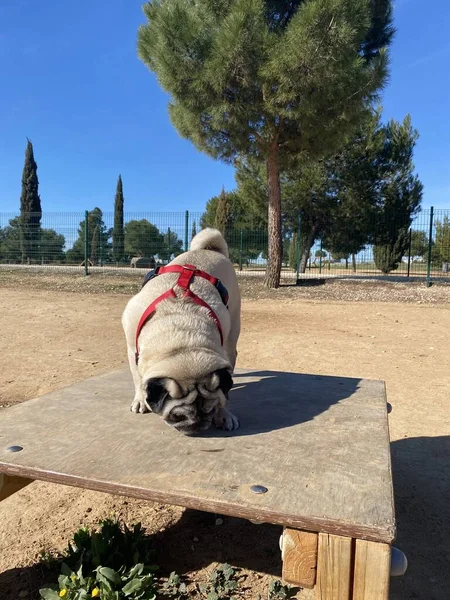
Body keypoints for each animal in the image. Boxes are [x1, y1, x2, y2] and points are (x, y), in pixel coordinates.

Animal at [121, 227, 241, 434]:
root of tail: (210, 250)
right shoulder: (131, 348)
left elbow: (224, 390)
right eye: (177, 416)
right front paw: (140, 399)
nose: (198, 425)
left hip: (233, 328)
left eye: (211, 410)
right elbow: (137, 377)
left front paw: (223, 414)